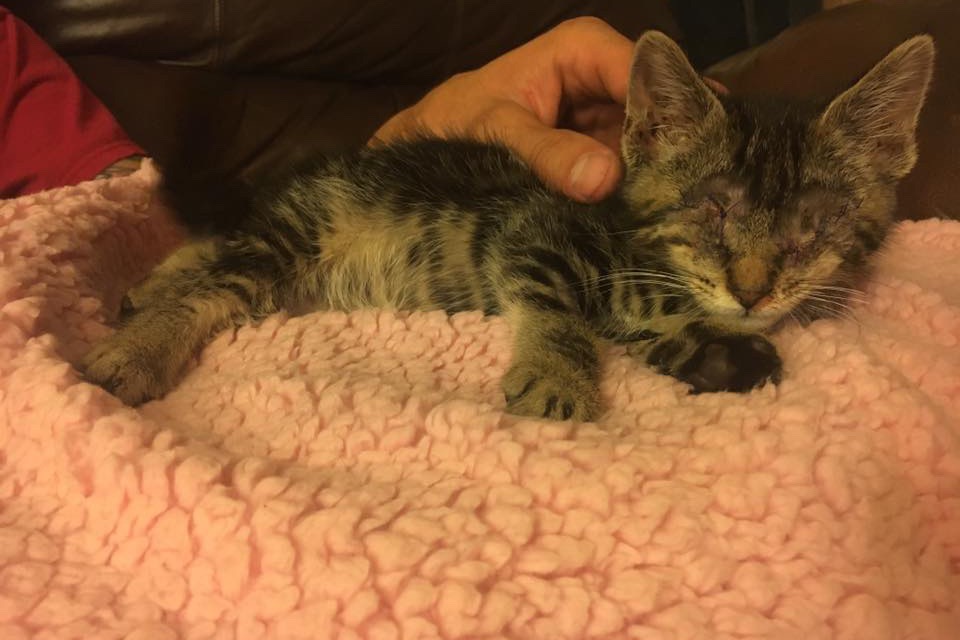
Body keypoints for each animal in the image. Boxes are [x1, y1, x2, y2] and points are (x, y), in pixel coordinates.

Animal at [81, 31, 934, 421]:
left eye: (814, 224)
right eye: (712, 208)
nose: (753, 291)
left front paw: (722, 354)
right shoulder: (532, 229)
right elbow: (559, 312)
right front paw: (558, 377)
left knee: (219, 255)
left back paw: (148, 288)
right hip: (303, 232)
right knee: (217, 281)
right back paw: (137, 345)